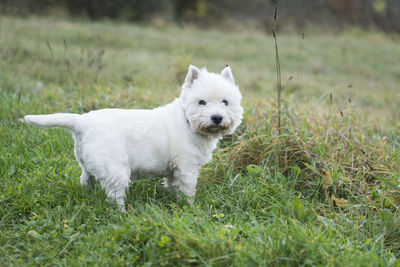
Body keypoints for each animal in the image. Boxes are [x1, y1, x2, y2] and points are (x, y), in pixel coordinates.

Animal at [26, 65, 244, 211]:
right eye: (201, 102)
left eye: (225, 102)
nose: (217, 117)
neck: (188, 121)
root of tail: (82, 122)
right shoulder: (186, 166)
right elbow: (187, 189)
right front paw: (189, 207)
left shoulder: (174, 169)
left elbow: (172, 185)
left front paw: (173, 200)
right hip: (115, 168)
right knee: (115, 195)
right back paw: (122, 213)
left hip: (89, 163)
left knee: (86, 180)